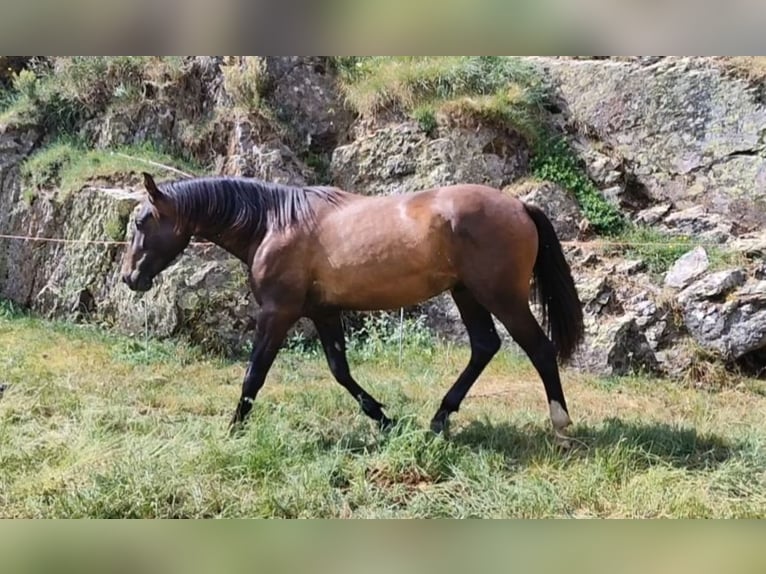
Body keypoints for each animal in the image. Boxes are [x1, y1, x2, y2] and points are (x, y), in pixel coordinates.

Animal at [121, 172, 584, 445]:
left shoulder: (277, 313)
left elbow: (254, 374)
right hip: (467, 294)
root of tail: (520, 205)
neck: (273, 223)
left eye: (142, 222)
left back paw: (560, 426)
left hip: (502, 297)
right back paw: (438, 419)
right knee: (485, 347)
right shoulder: (324, 313)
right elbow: (340, 371)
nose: (129, 278)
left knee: (540, 350)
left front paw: (234, 428)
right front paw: (384, 419)